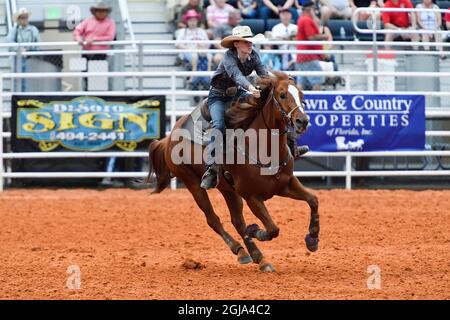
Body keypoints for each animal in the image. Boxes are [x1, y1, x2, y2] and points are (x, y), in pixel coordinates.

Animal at [148, 71, 320, 272]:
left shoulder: (286, 184)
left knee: (237, 221)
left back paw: (257, 257)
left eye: (301, 95)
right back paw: (241, 250)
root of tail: (169, 137)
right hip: (193, 184)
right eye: (282, 95)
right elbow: (272, 229)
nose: (303, 121)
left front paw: (312, 239)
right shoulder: (252, 196)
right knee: (213, 219)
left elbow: (313, 200)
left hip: (228, 190)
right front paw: (255, 230)